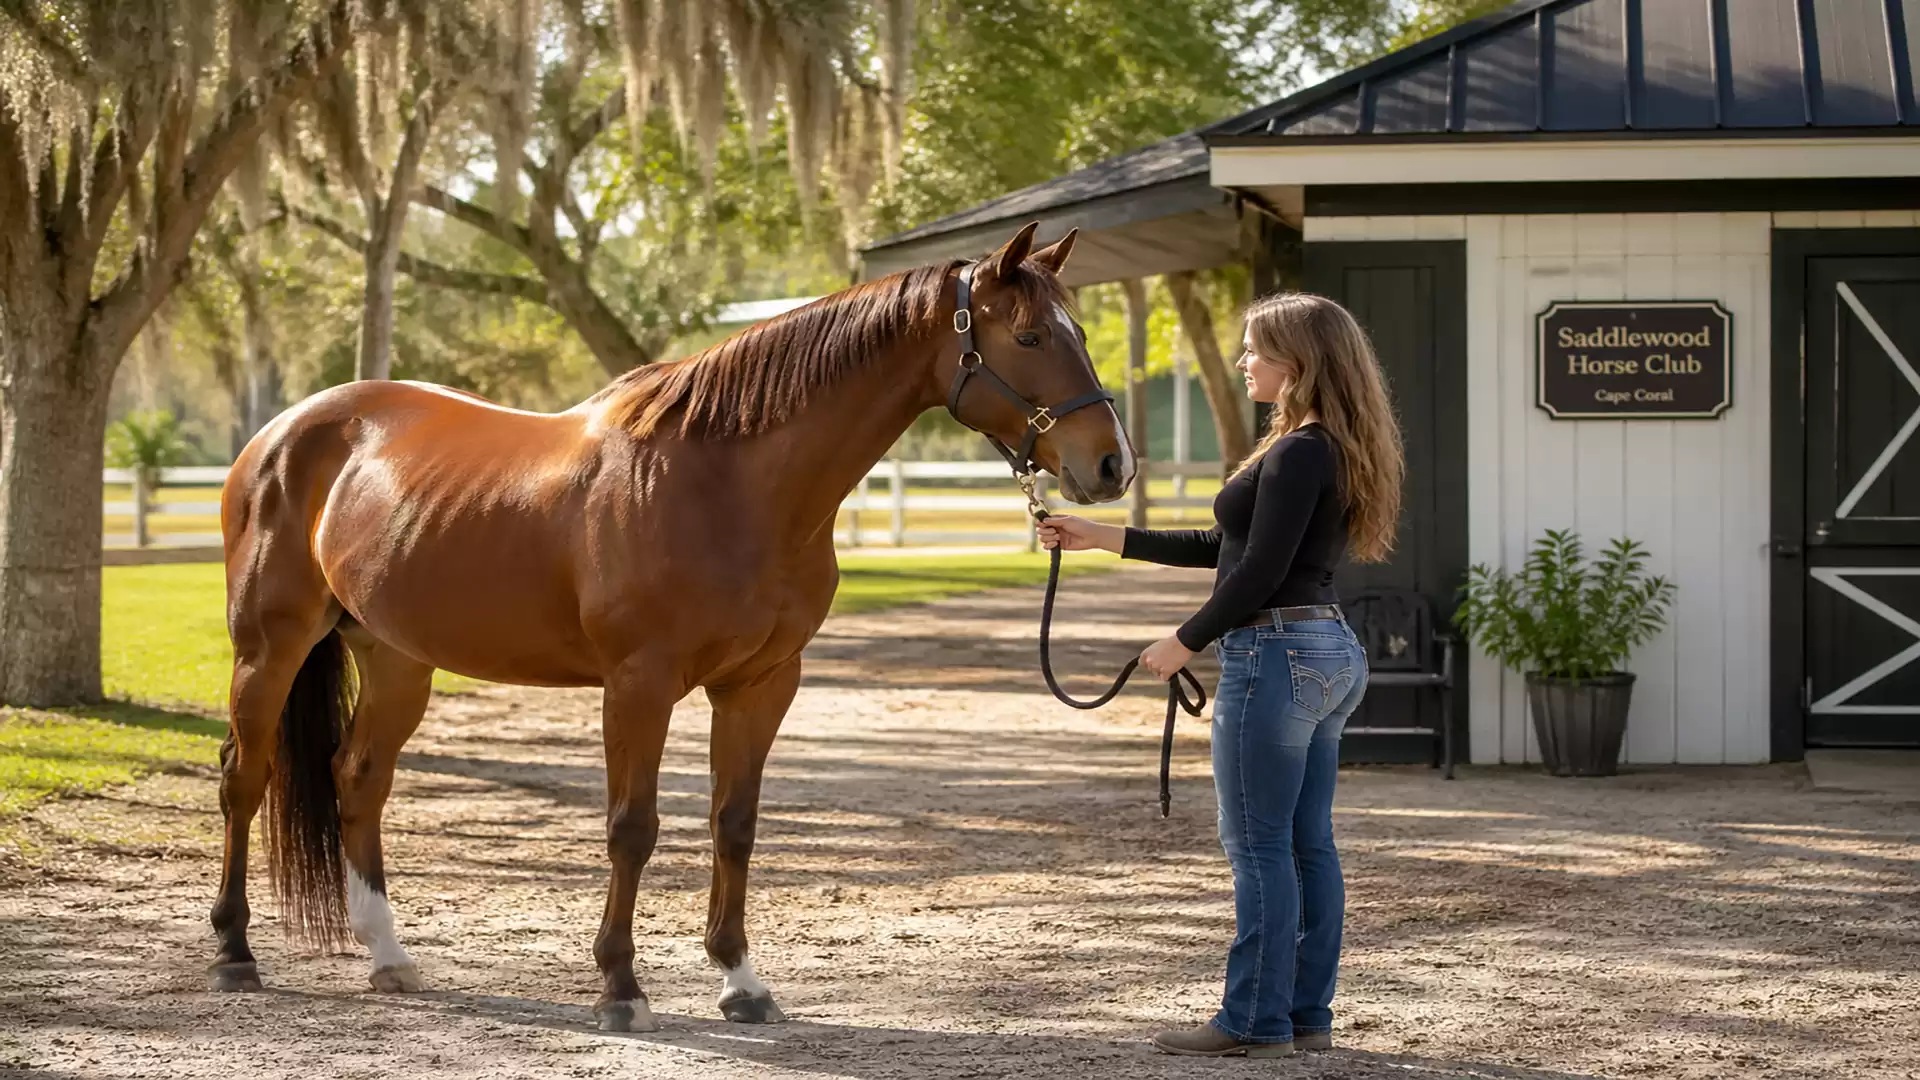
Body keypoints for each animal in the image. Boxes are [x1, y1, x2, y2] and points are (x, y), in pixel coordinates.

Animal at [208, 222, 1132, 1031]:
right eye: (1030, 337)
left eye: (1079, 330)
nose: (1111, 464)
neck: (724, 482)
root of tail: (284, 433)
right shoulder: (638, 685)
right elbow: (633, 828)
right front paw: (620, 987)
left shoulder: (762, 685)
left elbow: (735, 825)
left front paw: (742, 983)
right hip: (270, 646)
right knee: (244, 779)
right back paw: (233, 953)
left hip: (398, 657)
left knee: (359, 777)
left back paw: (389, 957)